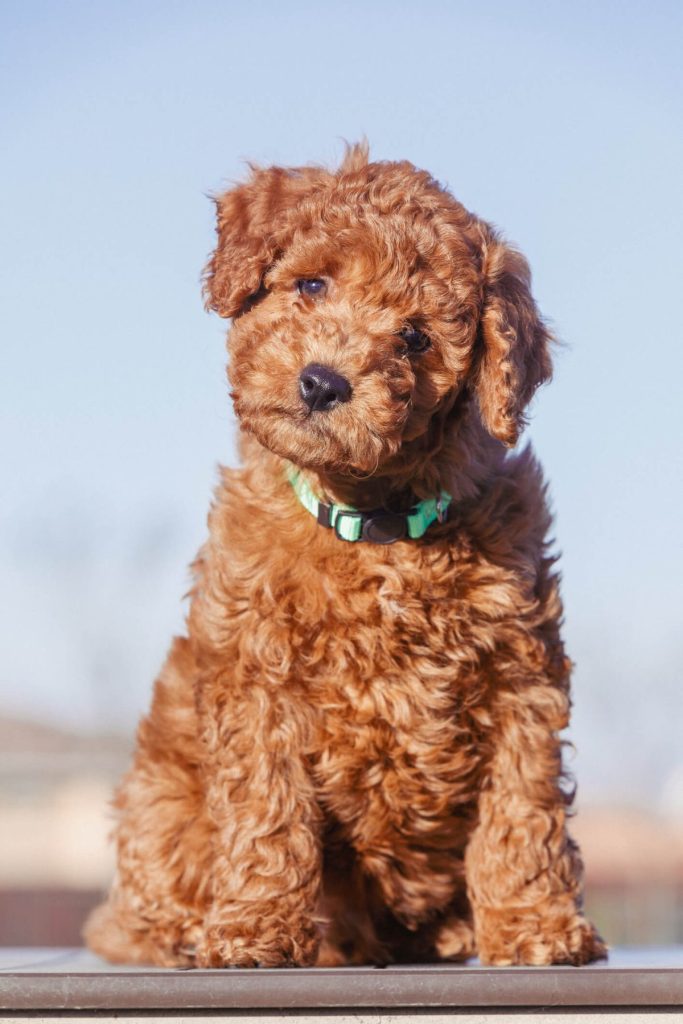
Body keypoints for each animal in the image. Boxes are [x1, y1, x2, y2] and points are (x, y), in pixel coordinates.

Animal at [83, 142, 602, 966]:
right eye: (311, 284)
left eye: (415, 337)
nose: (323, 383)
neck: (374, 524)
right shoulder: (256, 673)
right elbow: (266, 808)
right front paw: (257, 926)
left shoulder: (521, 676)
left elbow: (524, 806)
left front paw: (533, 923)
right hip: (161, 798)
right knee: (144, 903)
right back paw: (192, 932)